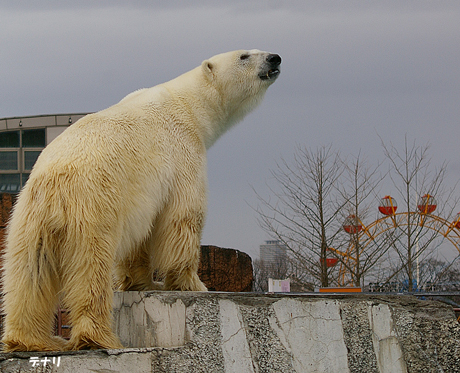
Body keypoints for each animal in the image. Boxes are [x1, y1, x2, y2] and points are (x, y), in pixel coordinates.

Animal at [0, 48, 280, 348]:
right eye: (244, 56)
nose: (275, 58)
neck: (188, 105)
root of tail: (54, 184)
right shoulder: (183, 154)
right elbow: (183, 217)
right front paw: (194, 284)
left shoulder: (139, 198)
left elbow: (139, 240)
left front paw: (143, 283)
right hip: (93, 206)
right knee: (91, 268)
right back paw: (97, 336)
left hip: (27, 220)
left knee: (29, 274)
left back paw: (30, 339)